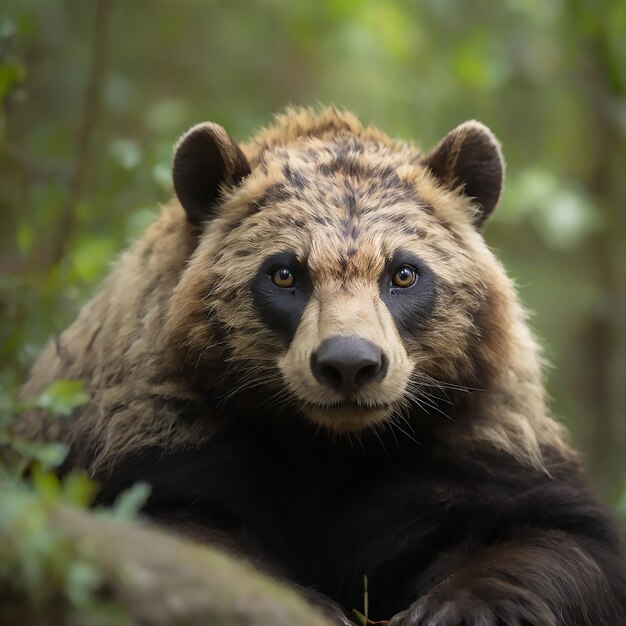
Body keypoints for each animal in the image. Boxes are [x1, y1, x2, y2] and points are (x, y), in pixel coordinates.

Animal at [18, 108, 624, 624]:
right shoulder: (164, 426)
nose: (349, 363)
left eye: (404, 272)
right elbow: (176, 523)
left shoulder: (475, 440)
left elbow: (554, 534)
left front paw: (460, 606)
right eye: (284, 272)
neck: (332, 445)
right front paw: (313, 603)